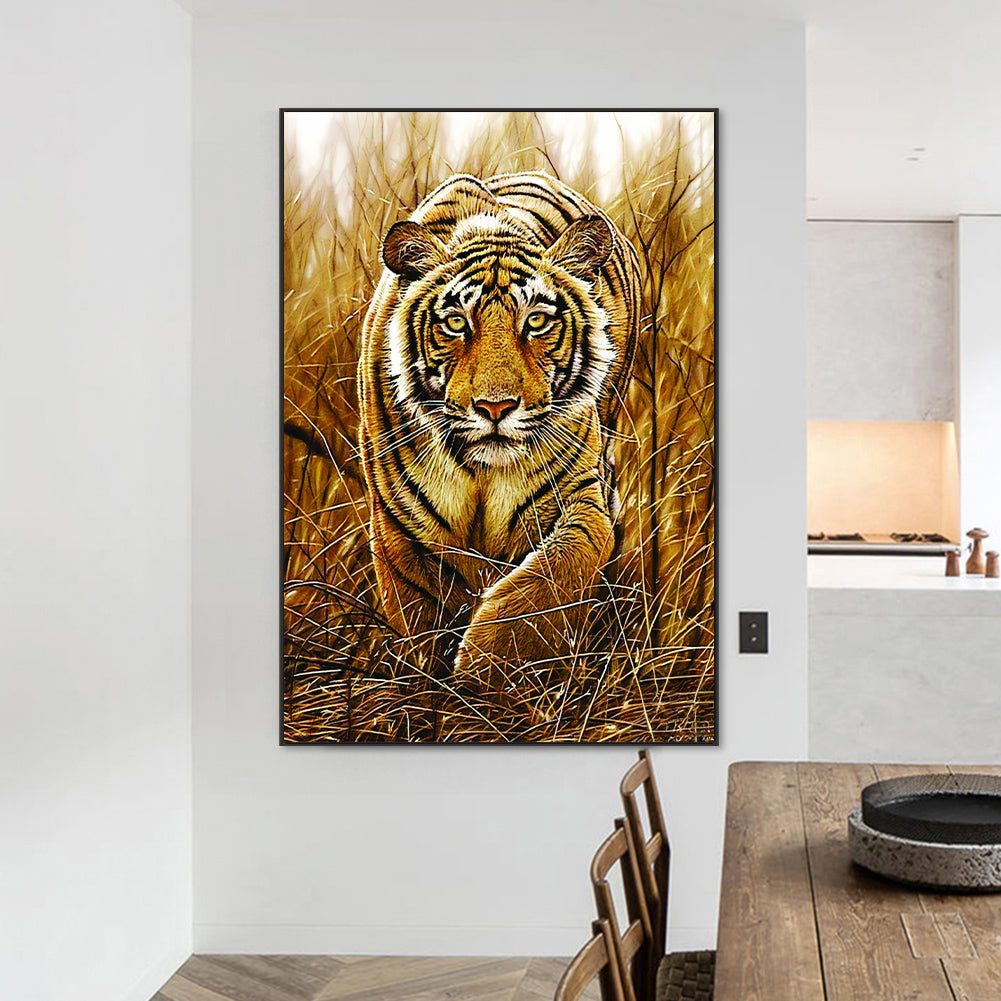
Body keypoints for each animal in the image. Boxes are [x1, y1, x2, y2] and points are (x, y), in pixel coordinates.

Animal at [357, 171, 641, 686]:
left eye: (537, 321)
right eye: (455, 323)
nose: (496, 407)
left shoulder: (581, 497)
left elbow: (553, 576)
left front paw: (486, 671)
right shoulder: (399, 527)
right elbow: (420, 617)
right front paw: (433, 687)